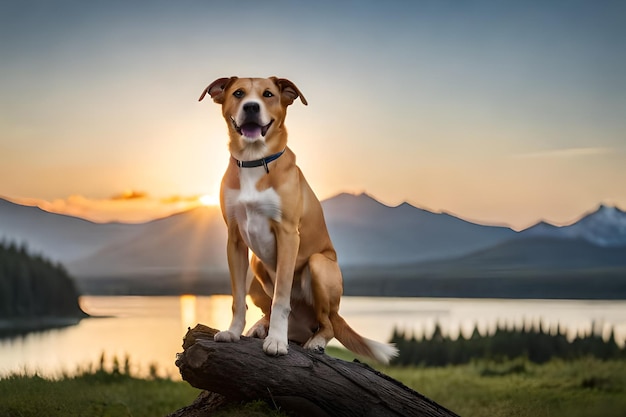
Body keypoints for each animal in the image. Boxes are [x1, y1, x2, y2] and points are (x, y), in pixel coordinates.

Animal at [199, 76, 394, 362]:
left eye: (268, 94)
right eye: (238, 93)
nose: (251, 107)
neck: (255, 161)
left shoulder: (288, 235)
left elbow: (282, 298)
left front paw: (277, 342)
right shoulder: (234, 239)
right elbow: (237, 298)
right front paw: (234, 332)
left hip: (319, 266)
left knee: (327, 323)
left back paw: (314, 341)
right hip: (256, 267)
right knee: (268, 309)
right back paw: (261, 327)